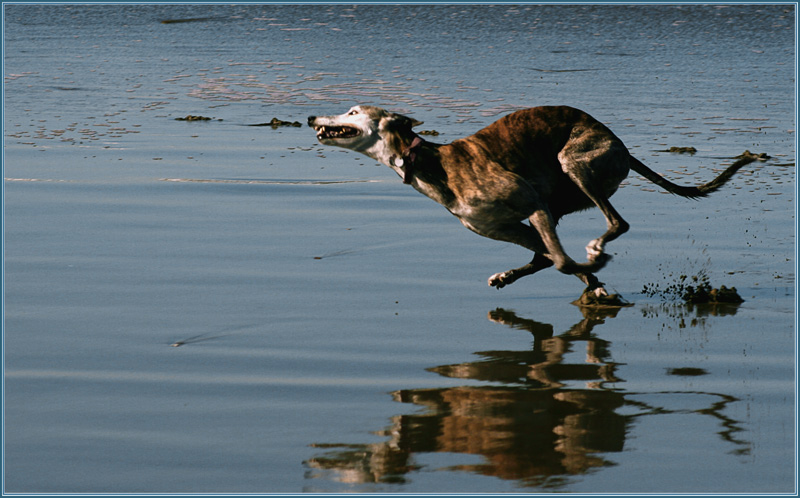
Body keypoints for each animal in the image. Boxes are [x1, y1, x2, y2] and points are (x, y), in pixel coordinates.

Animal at [308, 105, 756, 298]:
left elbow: (561, 262)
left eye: (353, 110)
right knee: (548, 253)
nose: (312, 117)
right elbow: (551, 259)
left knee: (617, 223)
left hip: (575, 164)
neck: (433, 163)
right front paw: (592, 283)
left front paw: (592, 270)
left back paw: (596, 251)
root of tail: (624, 149)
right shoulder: (506, 226)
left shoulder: (533, 207)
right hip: (560, 198)